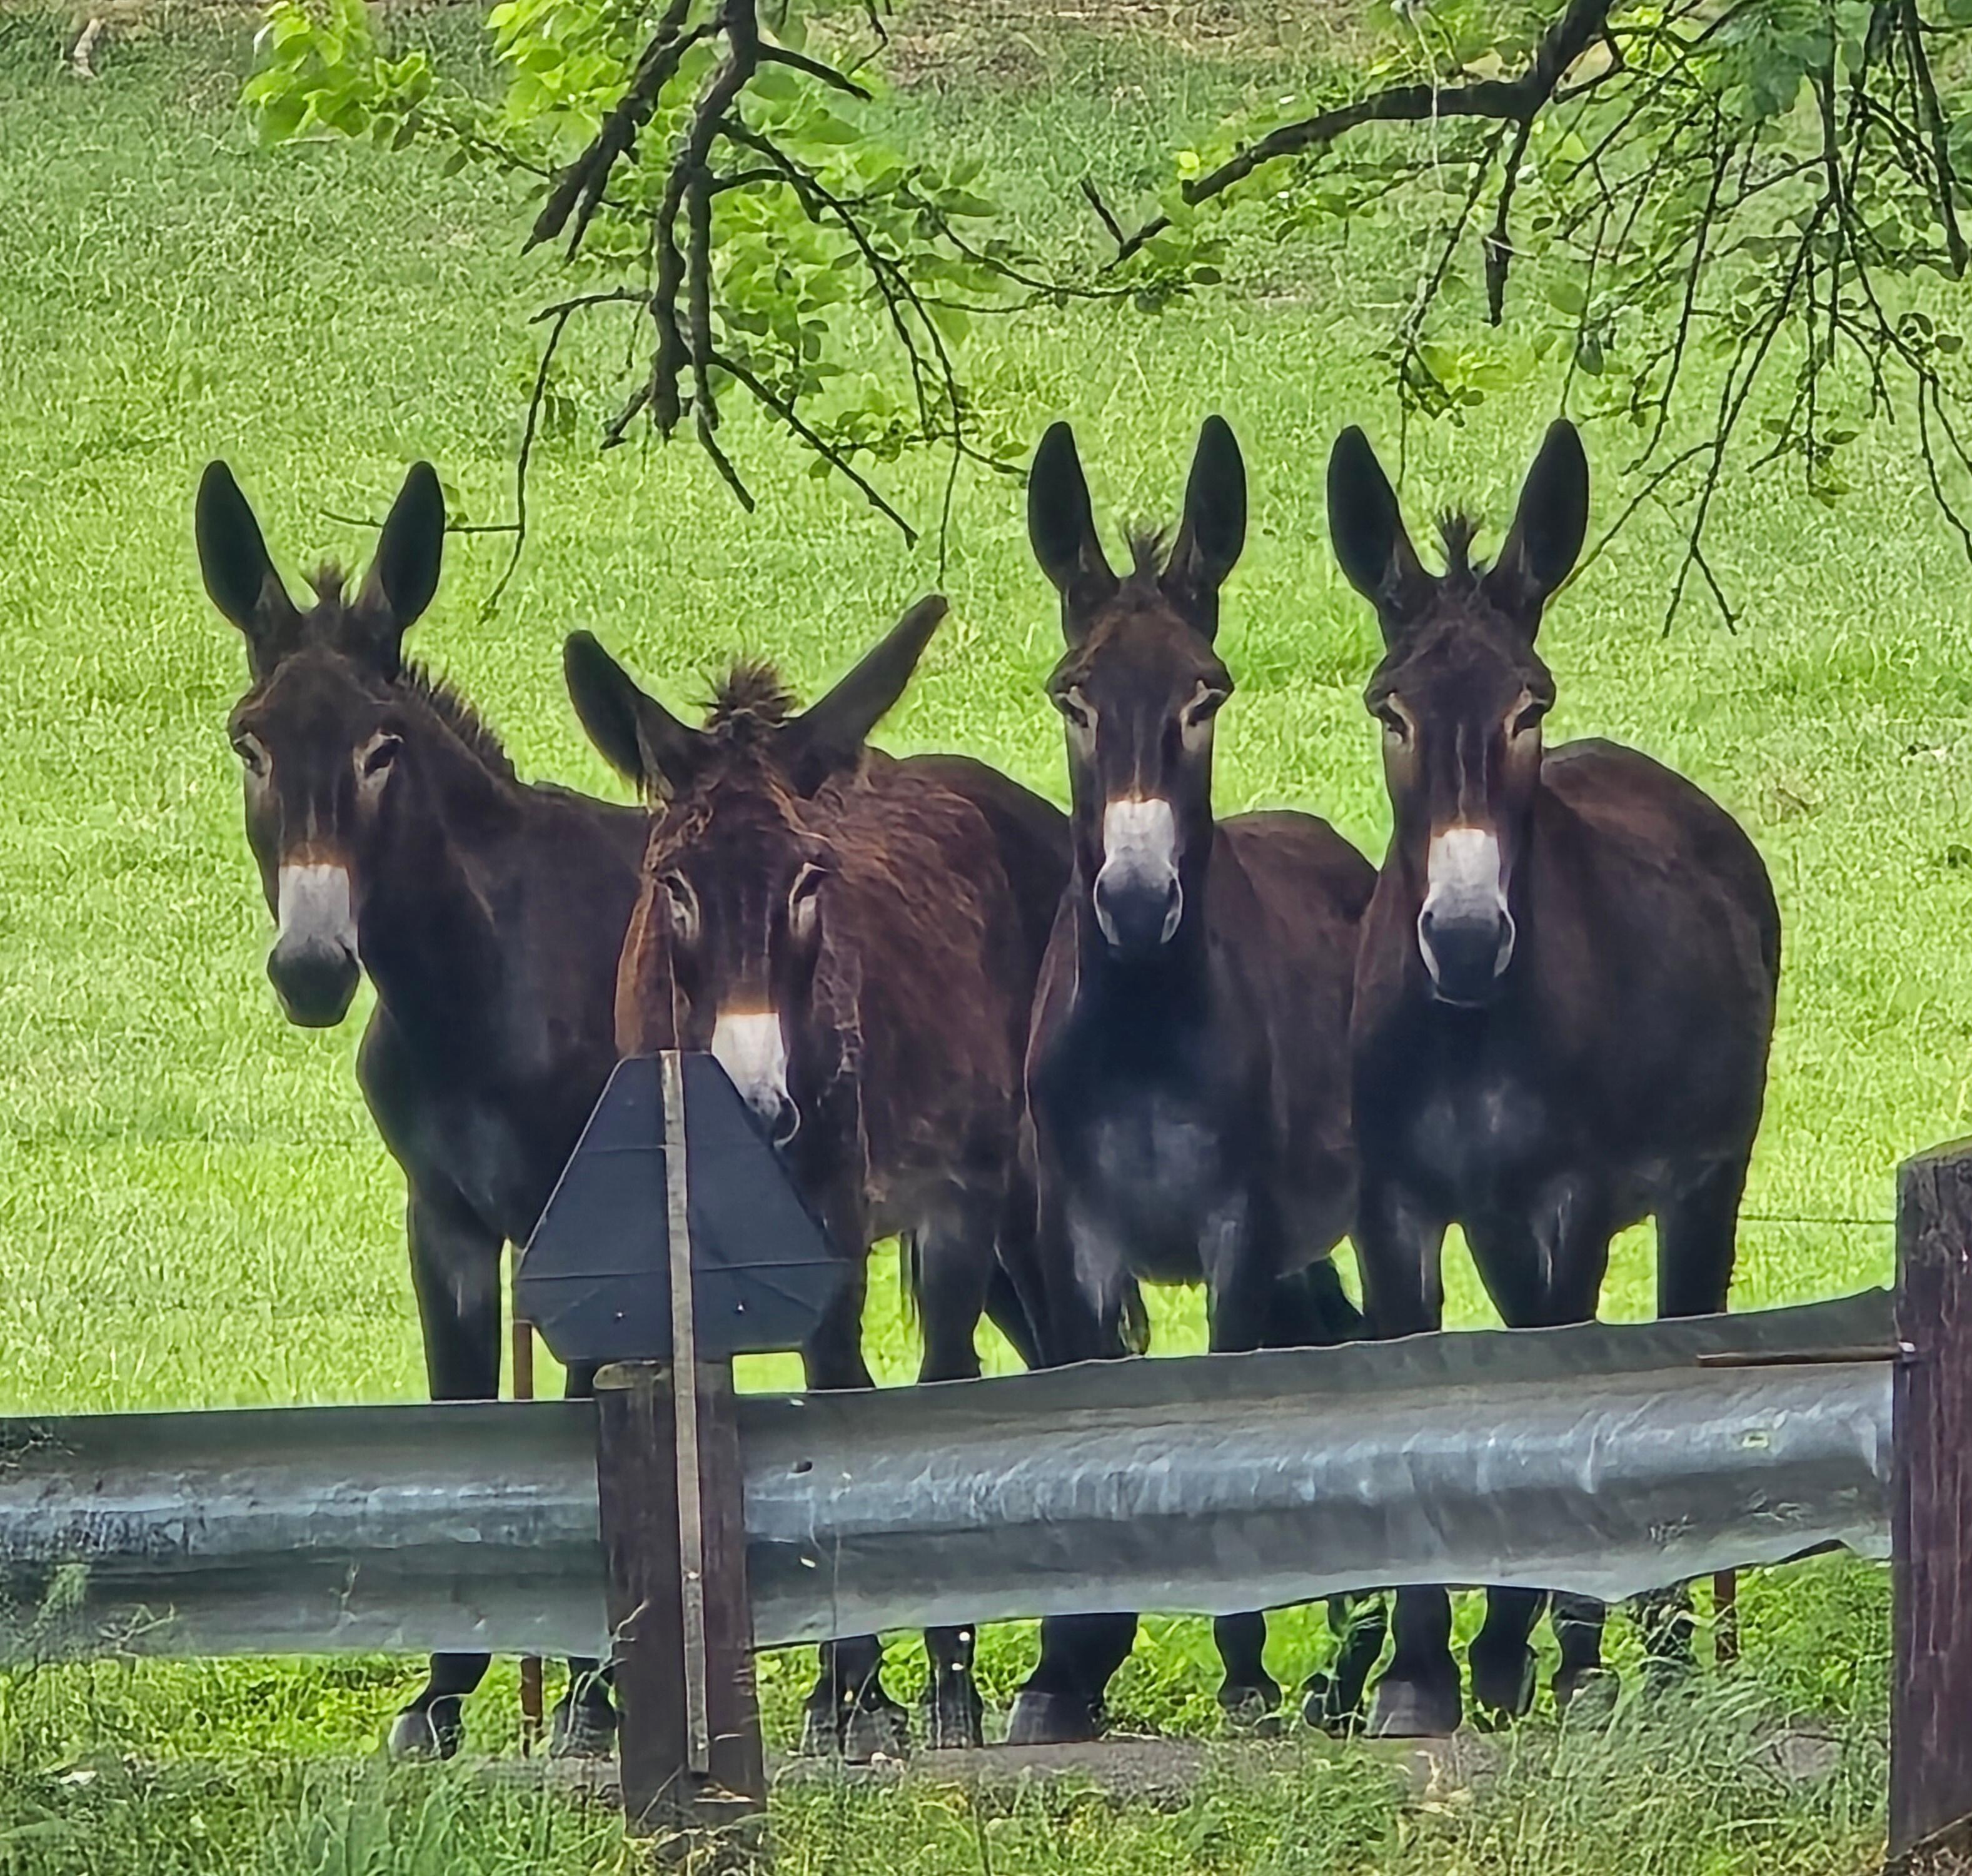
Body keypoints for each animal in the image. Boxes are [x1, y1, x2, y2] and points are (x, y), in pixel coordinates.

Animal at [196, 460, 643, 1759]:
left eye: (381, 750)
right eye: (248, 746)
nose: (311, 971)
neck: (479, 984)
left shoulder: (589, 1223)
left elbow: (583, 1423)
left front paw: (589, 1701)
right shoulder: (441, 1218)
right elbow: (461, 1424)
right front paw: (441, 1699)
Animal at [564, 601, 1064, 1755]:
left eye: (808, 880)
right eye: (672, 883)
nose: (755, 1106)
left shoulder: (836, 1221)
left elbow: (843, 1408)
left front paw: (856, 1698)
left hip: (976, 1198)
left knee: (953, 1376)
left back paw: (960, 1687)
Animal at [1005, 416, 1383, 1746]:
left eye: (1203, 698)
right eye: (1071, 698)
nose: (1131, 903)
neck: (1139, 1028)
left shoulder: (1236, 1228)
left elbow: (1227, 1433)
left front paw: (1243, 1673)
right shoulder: (1070, 1235)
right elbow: (1087, 1419)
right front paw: (1063, 1672)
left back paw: (1347, 1664)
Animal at [1325, 419, 1781, 1737]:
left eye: (1527, 708)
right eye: (1389, 713)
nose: (1467, 940)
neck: (1467, 1035)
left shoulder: (1571, 1195)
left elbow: (1560, 1382)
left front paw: (1547, 1657)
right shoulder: (1395, 1204)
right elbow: (1421, 1398)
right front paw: (1422, 1673)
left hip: (1703, 1184)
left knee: (1660, 1354)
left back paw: (1666, 1650)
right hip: (1497, 1219)